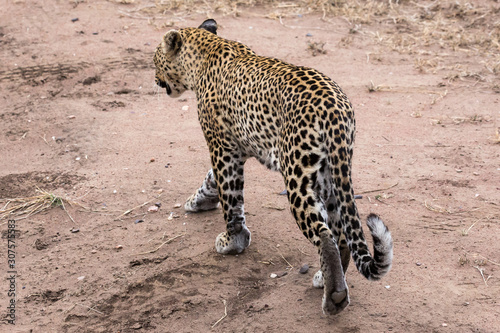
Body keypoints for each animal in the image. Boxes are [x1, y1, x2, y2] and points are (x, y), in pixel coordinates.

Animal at [153, 18, 394, 314]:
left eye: (155, 59)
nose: (154, 79)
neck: (206, 53)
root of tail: (334, 107)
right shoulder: (235, 148)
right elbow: (211, 181)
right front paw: (197, 202)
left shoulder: (222, 148)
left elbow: (229, 197)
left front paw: (232, 241)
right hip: (331, 174)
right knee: (342, 233)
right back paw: (324, 278)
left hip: (298, 176)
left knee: (324, 234)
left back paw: (334, 298)